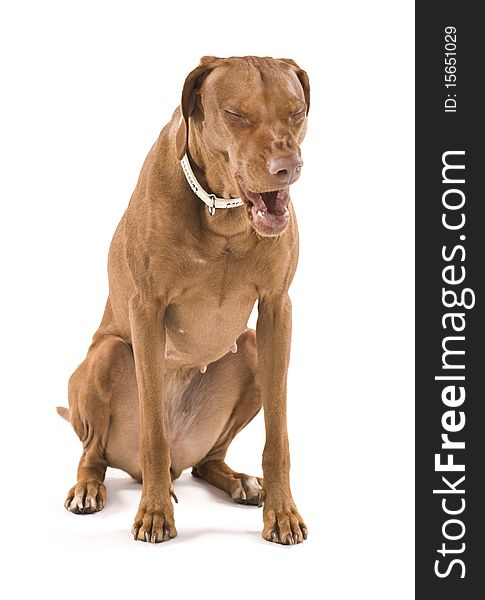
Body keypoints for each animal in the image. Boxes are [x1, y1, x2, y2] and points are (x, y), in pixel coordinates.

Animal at [57, 55, 310, 544]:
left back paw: (240, 481)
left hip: (252, 352)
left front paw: (282, 511)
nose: (288, 167)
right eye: (235, 114)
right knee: (94, 452)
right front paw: (155, 513)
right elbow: (152, 433)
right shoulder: (146, 309)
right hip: (107, 358)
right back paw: (89, 487)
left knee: (207, 462)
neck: (222, 213)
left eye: (297, 113)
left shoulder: (278, 308)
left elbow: (279, 436)